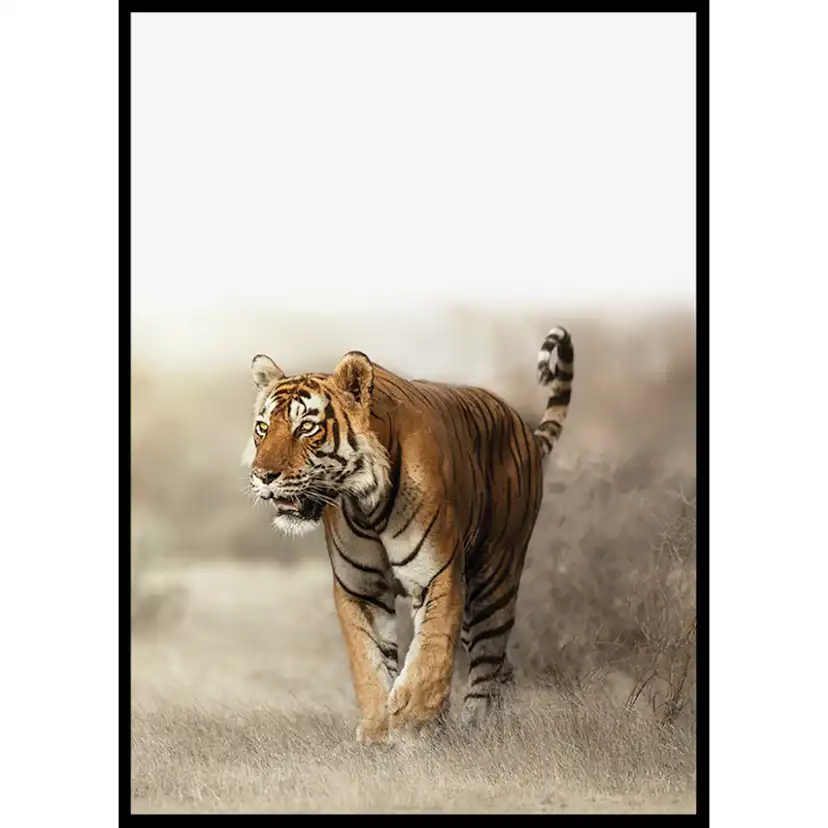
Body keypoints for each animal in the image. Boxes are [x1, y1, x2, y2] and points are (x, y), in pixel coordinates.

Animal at [242, 327, 574, 744]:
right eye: (263, 428)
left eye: (306, 427)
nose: (262, 476)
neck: (366, 504)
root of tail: (523, 428)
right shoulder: (360, 588)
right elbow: (368, 661)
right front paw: (376, 731)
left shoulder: (437, 576)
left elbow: (430, 653)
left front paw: (413, 724)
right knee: (502, 666)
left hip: (494, 580)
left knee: (487, 661)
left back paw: (477, 727)